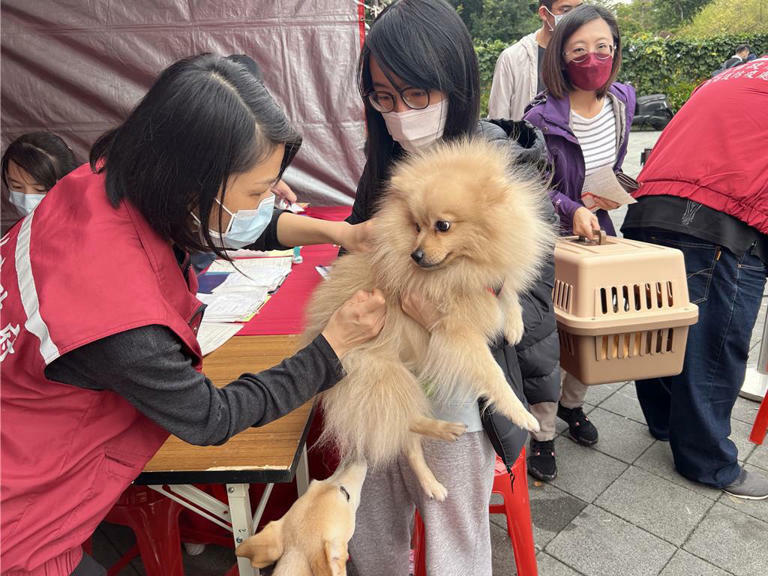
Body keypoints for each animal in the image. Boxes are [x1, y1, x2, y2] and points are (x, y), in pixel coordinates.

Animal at [304, 138, 556, 500]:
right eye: (416, 226)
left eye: (442, 225)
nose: (416, 255)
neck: (464, 266)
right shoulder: (458, 333)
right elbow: (494, 375)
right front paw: (521, 414)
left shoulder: (488, 282)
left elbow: (508, 293)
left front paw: (513, 326)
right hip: (385, 376)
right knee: (400, 423)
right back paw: (438, 446)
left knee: (407, 436)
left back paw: (437, 458)